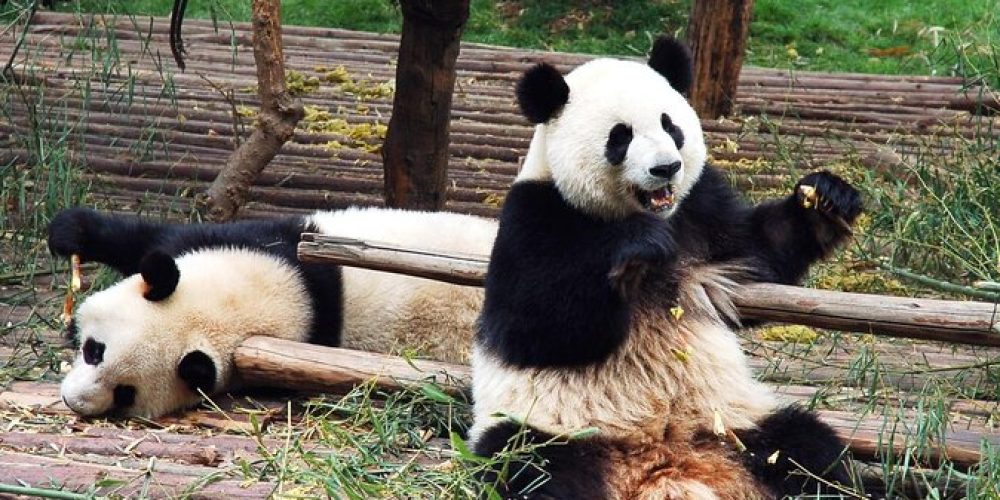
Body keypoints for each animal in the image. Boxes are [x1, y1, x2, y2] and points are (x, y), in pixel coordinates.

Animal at [49, 206, 497, 419]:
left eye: (125, 392)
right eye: (94, 351)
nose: (73, 402)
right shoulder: (257, 238)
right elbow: (148, 242)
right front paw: (69, 232)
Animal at [470, 36, 864, 499]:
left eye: (670, 125)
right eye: (620, 137)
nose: (666, 168)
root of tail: (665, 462)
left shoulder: (701, 210)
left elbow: (761, 255)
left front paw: (825, 199)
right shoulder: (534, 216)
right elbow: (534, 326)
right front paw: (636, 252)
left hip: (736, 424)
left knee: (808, 451)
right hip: (551, 428)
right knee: (534, 470)